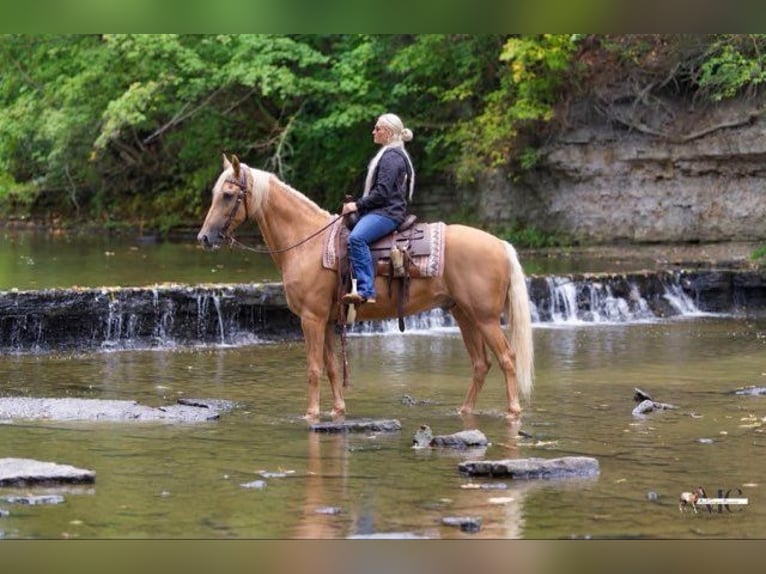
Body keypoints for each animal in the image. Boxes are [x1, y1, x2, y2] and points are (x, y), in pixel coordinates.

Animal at [197, 154, 534, 421]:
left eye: (228, 195)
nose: (204, 238)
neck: (307, 242)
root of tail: (500, 244)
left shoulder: (311, 318)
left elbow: (313, 368)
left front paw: (310, 414)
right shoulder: (328, 320)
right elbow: (333, 367)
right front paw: (337, 410)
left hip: (485, 317)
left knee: (507, 358)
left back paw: (513, 411)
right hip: (464, 314)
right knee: (480, 363)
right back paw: (464, 411)